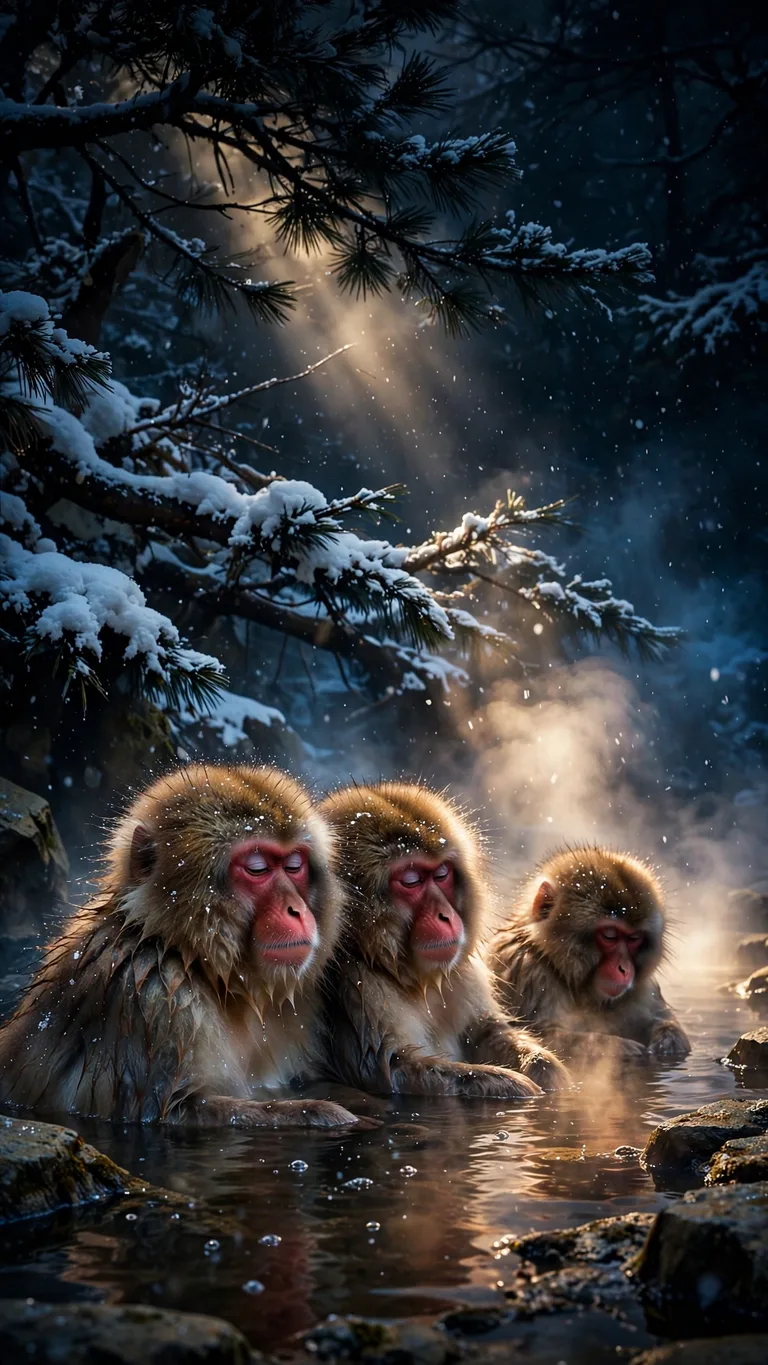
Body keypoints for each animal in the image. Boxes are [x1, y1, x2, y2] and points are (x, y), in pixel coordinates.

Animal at [0, 765, 369, 1128]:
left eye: (294, 865)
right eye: (257, 868)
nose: (297, 910)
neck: (198, 963)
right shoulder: (148, 997)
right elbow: (169, 1112)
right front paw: (333, 1116)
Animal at [316, 782, 571, 1099]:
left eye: (441, 874)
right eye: (411, 880)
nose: (446, 916)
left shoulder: (463, 974)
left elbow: (486, 1031)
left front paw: (545, 1069)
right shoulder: (355, 985)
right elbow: (389, 1070)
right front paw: (513, 1085)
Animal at [488, 846, 691, 1064]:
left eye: (634, 938)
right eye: (609, 935)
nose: (624, 969)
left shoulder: (644, 986)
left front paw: (668, 1040)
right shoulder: (526, 971)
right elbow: (545, 1036)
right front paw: (616, 1048)